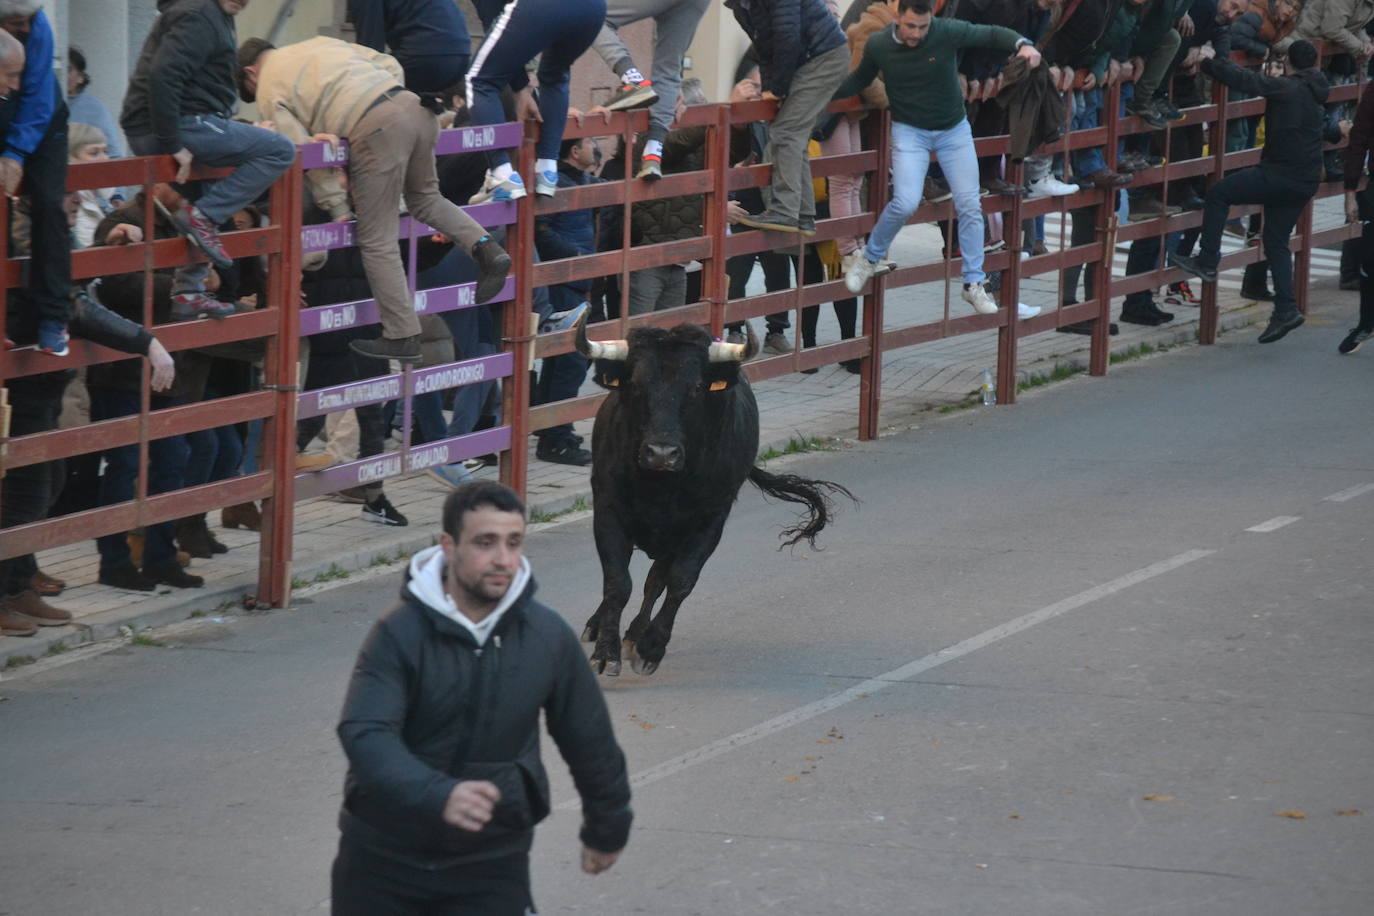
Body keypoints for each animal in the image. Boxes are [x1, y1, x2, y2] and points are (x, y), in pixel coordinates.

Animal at [574, 318, 851, 678]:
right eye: (635, 384)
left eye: (695, 388)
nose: (661, 453)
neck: (661, 486)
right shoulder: (608, 509)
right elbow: (617, 582)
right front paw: (606, 652)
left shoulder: (709, 521)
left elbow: (679, 581)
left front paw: (651, 648)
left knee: (656, 581)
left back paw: (636, 634)